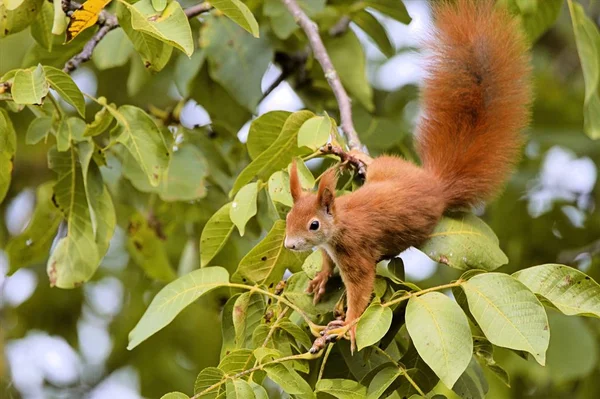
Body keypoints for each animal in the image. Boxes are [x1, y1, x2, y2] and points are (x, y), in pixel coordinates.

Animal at [282, 0, 528, 352]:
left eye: (313, 225)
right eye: (288, 217)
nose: (290, 244)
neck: (339, 223)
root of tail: (435, 185)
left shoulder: (355, 253)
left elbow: (361, 291)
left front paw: (348, 326)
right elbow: (327, 263)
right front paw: (321, 278)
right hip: (389, 168)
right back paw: (358, 156)